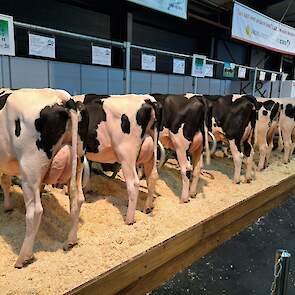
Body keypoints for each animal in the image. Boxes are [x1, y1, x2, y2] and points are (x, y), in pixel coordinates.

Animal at [0, 88, 88, 268]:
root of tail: (64, 98)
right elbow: (5, 181)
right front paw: (7, 206)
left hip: (30, 169)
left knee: (35, 211)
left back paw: (23, 258)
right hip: (78, 161)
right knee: (78, 199)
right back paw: (71, 241)